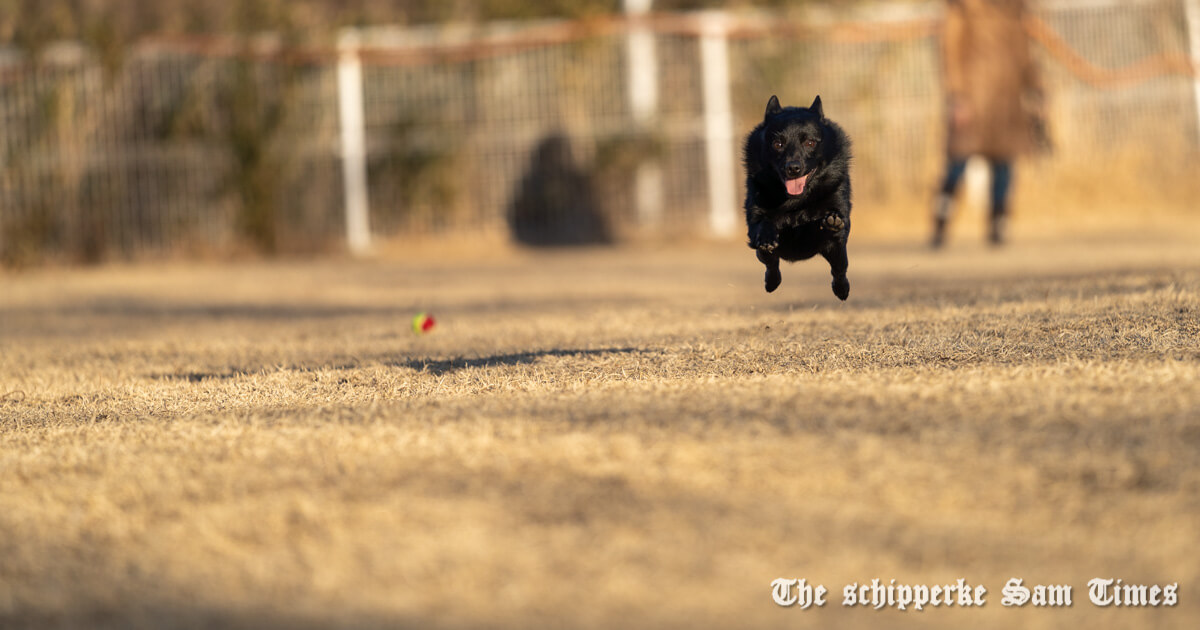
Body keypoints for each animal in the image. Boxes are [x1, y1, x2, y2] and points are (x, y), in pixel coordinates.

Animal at [744, 94, 849, 298]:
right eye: (777, 144)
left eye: (810, 143)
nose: (793, 168)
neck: (795, 201)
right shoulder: (754, 222)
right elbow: (763, 224)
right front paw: (767, 237)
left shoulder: (836, 228)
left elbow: (830, 229)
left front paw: (831, 222)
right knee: (772, 265)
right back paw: (771, 282)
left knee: (839, 268)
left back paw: (842, 289)